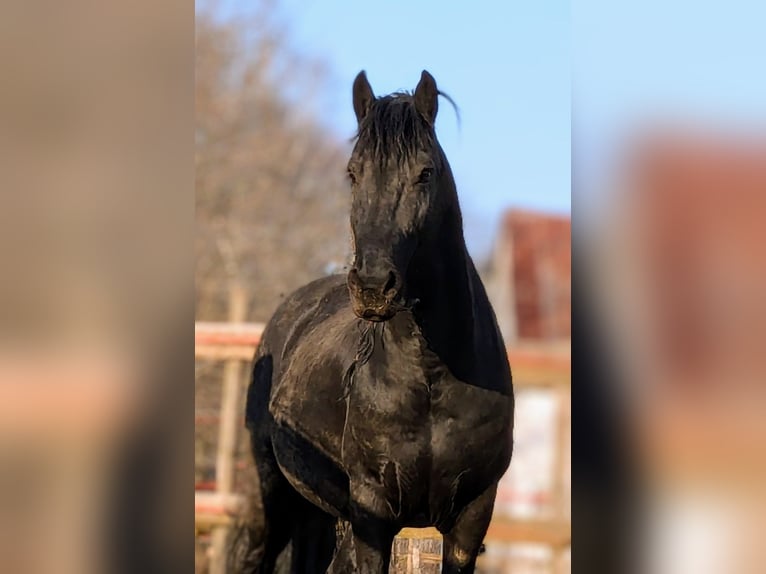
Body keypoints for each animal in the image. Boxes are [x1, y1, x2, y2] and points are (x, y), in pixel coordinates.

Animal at [240, 70, 516, 572]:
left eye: (425, 173)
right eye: (353, 173)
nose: (372, 286)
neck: (431, 378)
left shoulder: (470, 520)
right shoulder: (372, 515)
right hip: (271, 501)